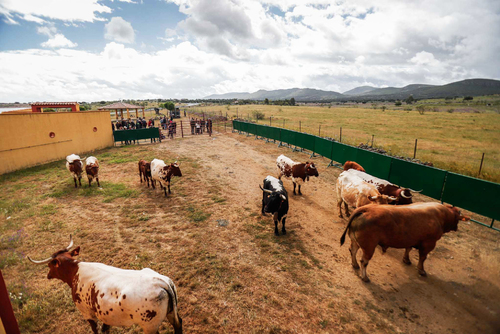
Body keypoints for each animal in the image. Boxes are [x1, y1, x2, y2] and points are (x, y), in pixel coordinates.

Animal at [27, 235, 184, 334]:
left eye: (50, 266)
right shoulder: (105, 314)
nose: (48, 275)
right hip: (172, 314)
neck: (75, 271)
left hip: (149, 326)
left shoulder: (87, 313)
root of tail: (161, 282)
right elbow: (105, 327)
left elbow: (95, 329)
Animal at [340, 201, 468, 282]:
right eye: (457, 219)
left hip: (355, 240)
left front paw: (406, 259)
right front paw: (421, 270)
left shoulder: (411, 239)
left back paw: (355, 265)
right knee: (364, 261)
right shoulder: (429, 243)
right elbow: (422, 258)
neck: (441, 214)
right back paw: (365, 277)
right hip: (369, 246)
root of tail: (367, 208)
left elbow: (408, 248)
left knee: (353, 251)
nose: (457, 227)